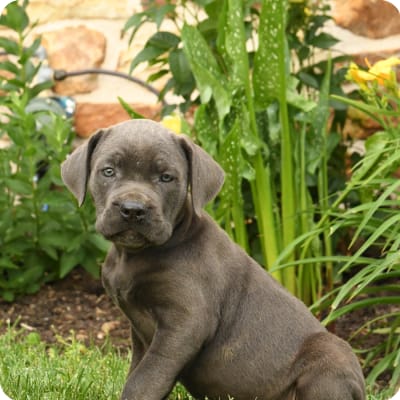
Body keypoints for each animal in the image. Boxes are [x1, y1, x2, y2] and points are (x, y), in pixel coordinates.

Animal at [61, 119, 366, 400]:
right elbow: (137, 370)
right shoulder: (141, 330)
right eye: (108, 171)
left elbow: (145, 379)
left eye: (166, 178)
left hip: (330, 356)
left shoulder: (185, 322)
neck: (134, 255)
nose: (133, 209)